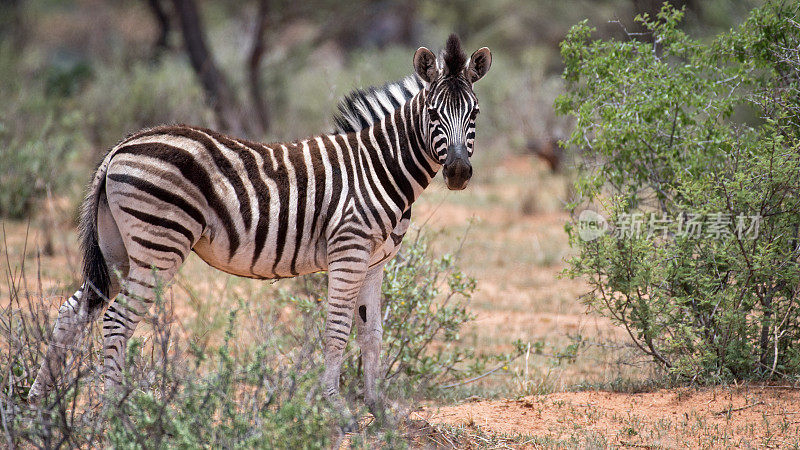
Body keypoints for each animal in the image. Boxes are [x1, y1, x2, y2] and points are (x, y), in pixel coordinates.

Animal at [28, 34, 490, 422]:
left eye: (475, 113)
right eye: (433, 113)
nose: (457, 173)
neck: (379, 166)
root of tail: (119, 148)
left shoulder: (376, 261)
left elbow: (372, 333)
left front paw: (379, 409)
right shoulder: (350, 250)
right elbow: (338, 330)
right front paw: (335, 408)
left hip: (119, 251)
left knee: (74, 312)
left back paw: (38, 406)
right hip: (157, 246)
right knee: (116, 321)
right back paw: (115, 414)